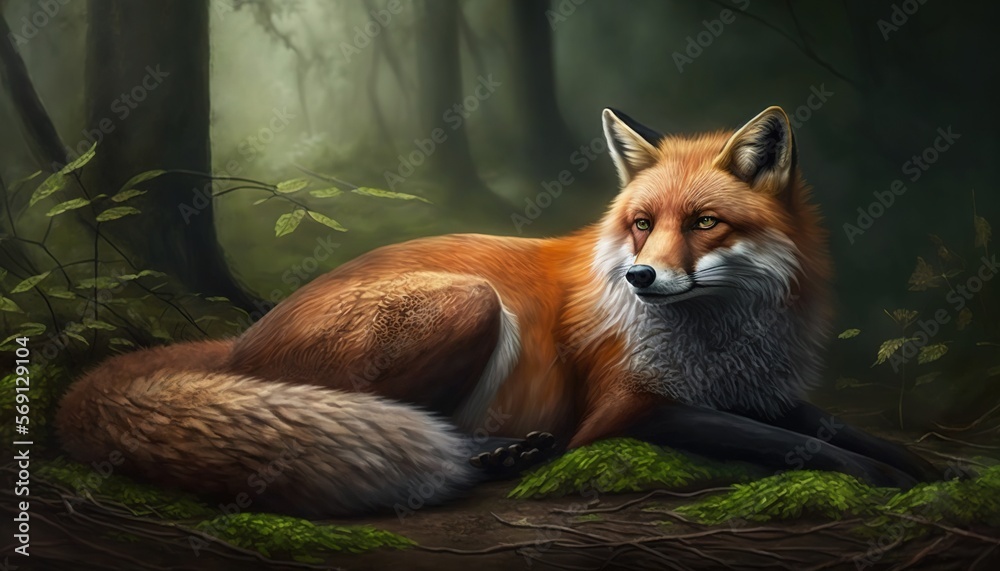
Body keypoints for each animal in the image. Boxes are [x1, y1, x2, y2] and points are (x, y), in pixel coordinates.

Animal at [56, 106, 942, 517]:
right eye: (641, 223)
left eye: (704, 223)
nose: (641, 277)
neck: (720, 338)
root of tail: (238, 345)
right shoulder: (628, 408)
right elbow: (797, 445)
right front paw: (883, 481)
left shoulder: (754, 389)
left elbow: (834, 426)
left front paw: (933, 469)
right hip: (470, 304)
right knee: (384, 417)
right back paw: (492, 454)